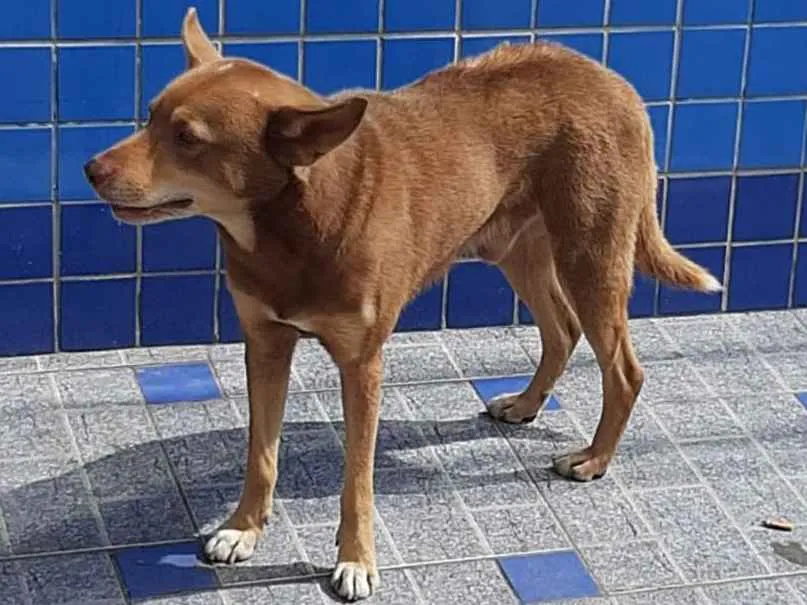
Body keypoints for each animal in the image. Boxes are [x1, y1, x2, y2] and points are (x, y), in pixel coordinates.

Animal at [84, 8, 721, 600]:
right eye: (149, 116)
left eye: (187, 138)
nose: (90, 169)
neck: (292, 224)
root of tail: (610, 78)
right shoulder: (264, 344)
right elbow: (260, 454)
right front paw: (244, 529)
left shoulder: (363, 364)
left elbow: (357, 479)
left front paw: (356, 560)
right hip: (517, 249)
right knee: (562, 329)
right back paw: (525, 404)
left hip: (591, 255)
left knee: (625, 370)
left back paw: (594, 458)